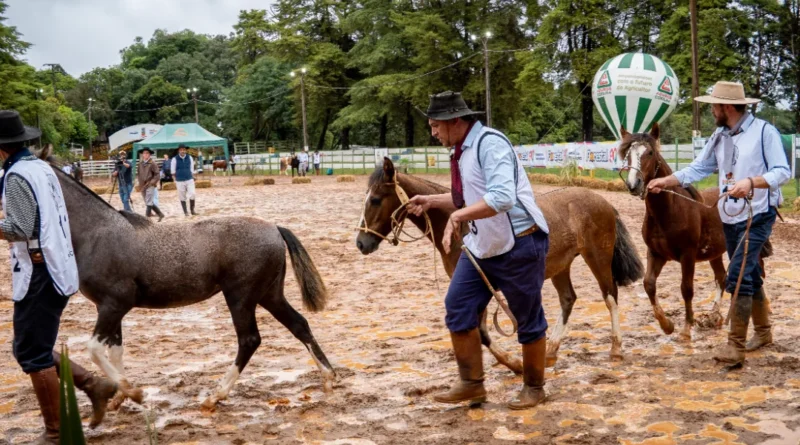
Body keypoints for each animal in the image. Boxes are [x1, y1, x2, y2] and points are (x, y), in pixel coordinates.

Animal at [37, 146, 336, 410]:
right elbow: (114, 351)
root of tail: (274, 228)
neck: (97, 234)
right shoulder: (110, 308)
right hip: (269, 295)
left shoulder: (113, 305)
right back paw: (328, 377)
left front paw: (133, 393)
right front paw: (120, 396)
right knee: (299, 325)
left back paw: (216, 395)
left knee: (249, 340)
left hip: (241, 298)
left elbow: (95, 350)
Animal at [356, 158, 644, 369]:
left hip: (598, 258)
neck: (459, 227)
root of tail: (603, 201)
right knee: (568, 299)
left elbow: (482, 332)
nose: (360, 242)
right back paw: (551, 350)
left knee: (610, 296)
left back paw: (616, 349)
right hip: (561, 266)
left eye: (376, 199)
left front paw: (513, 363)